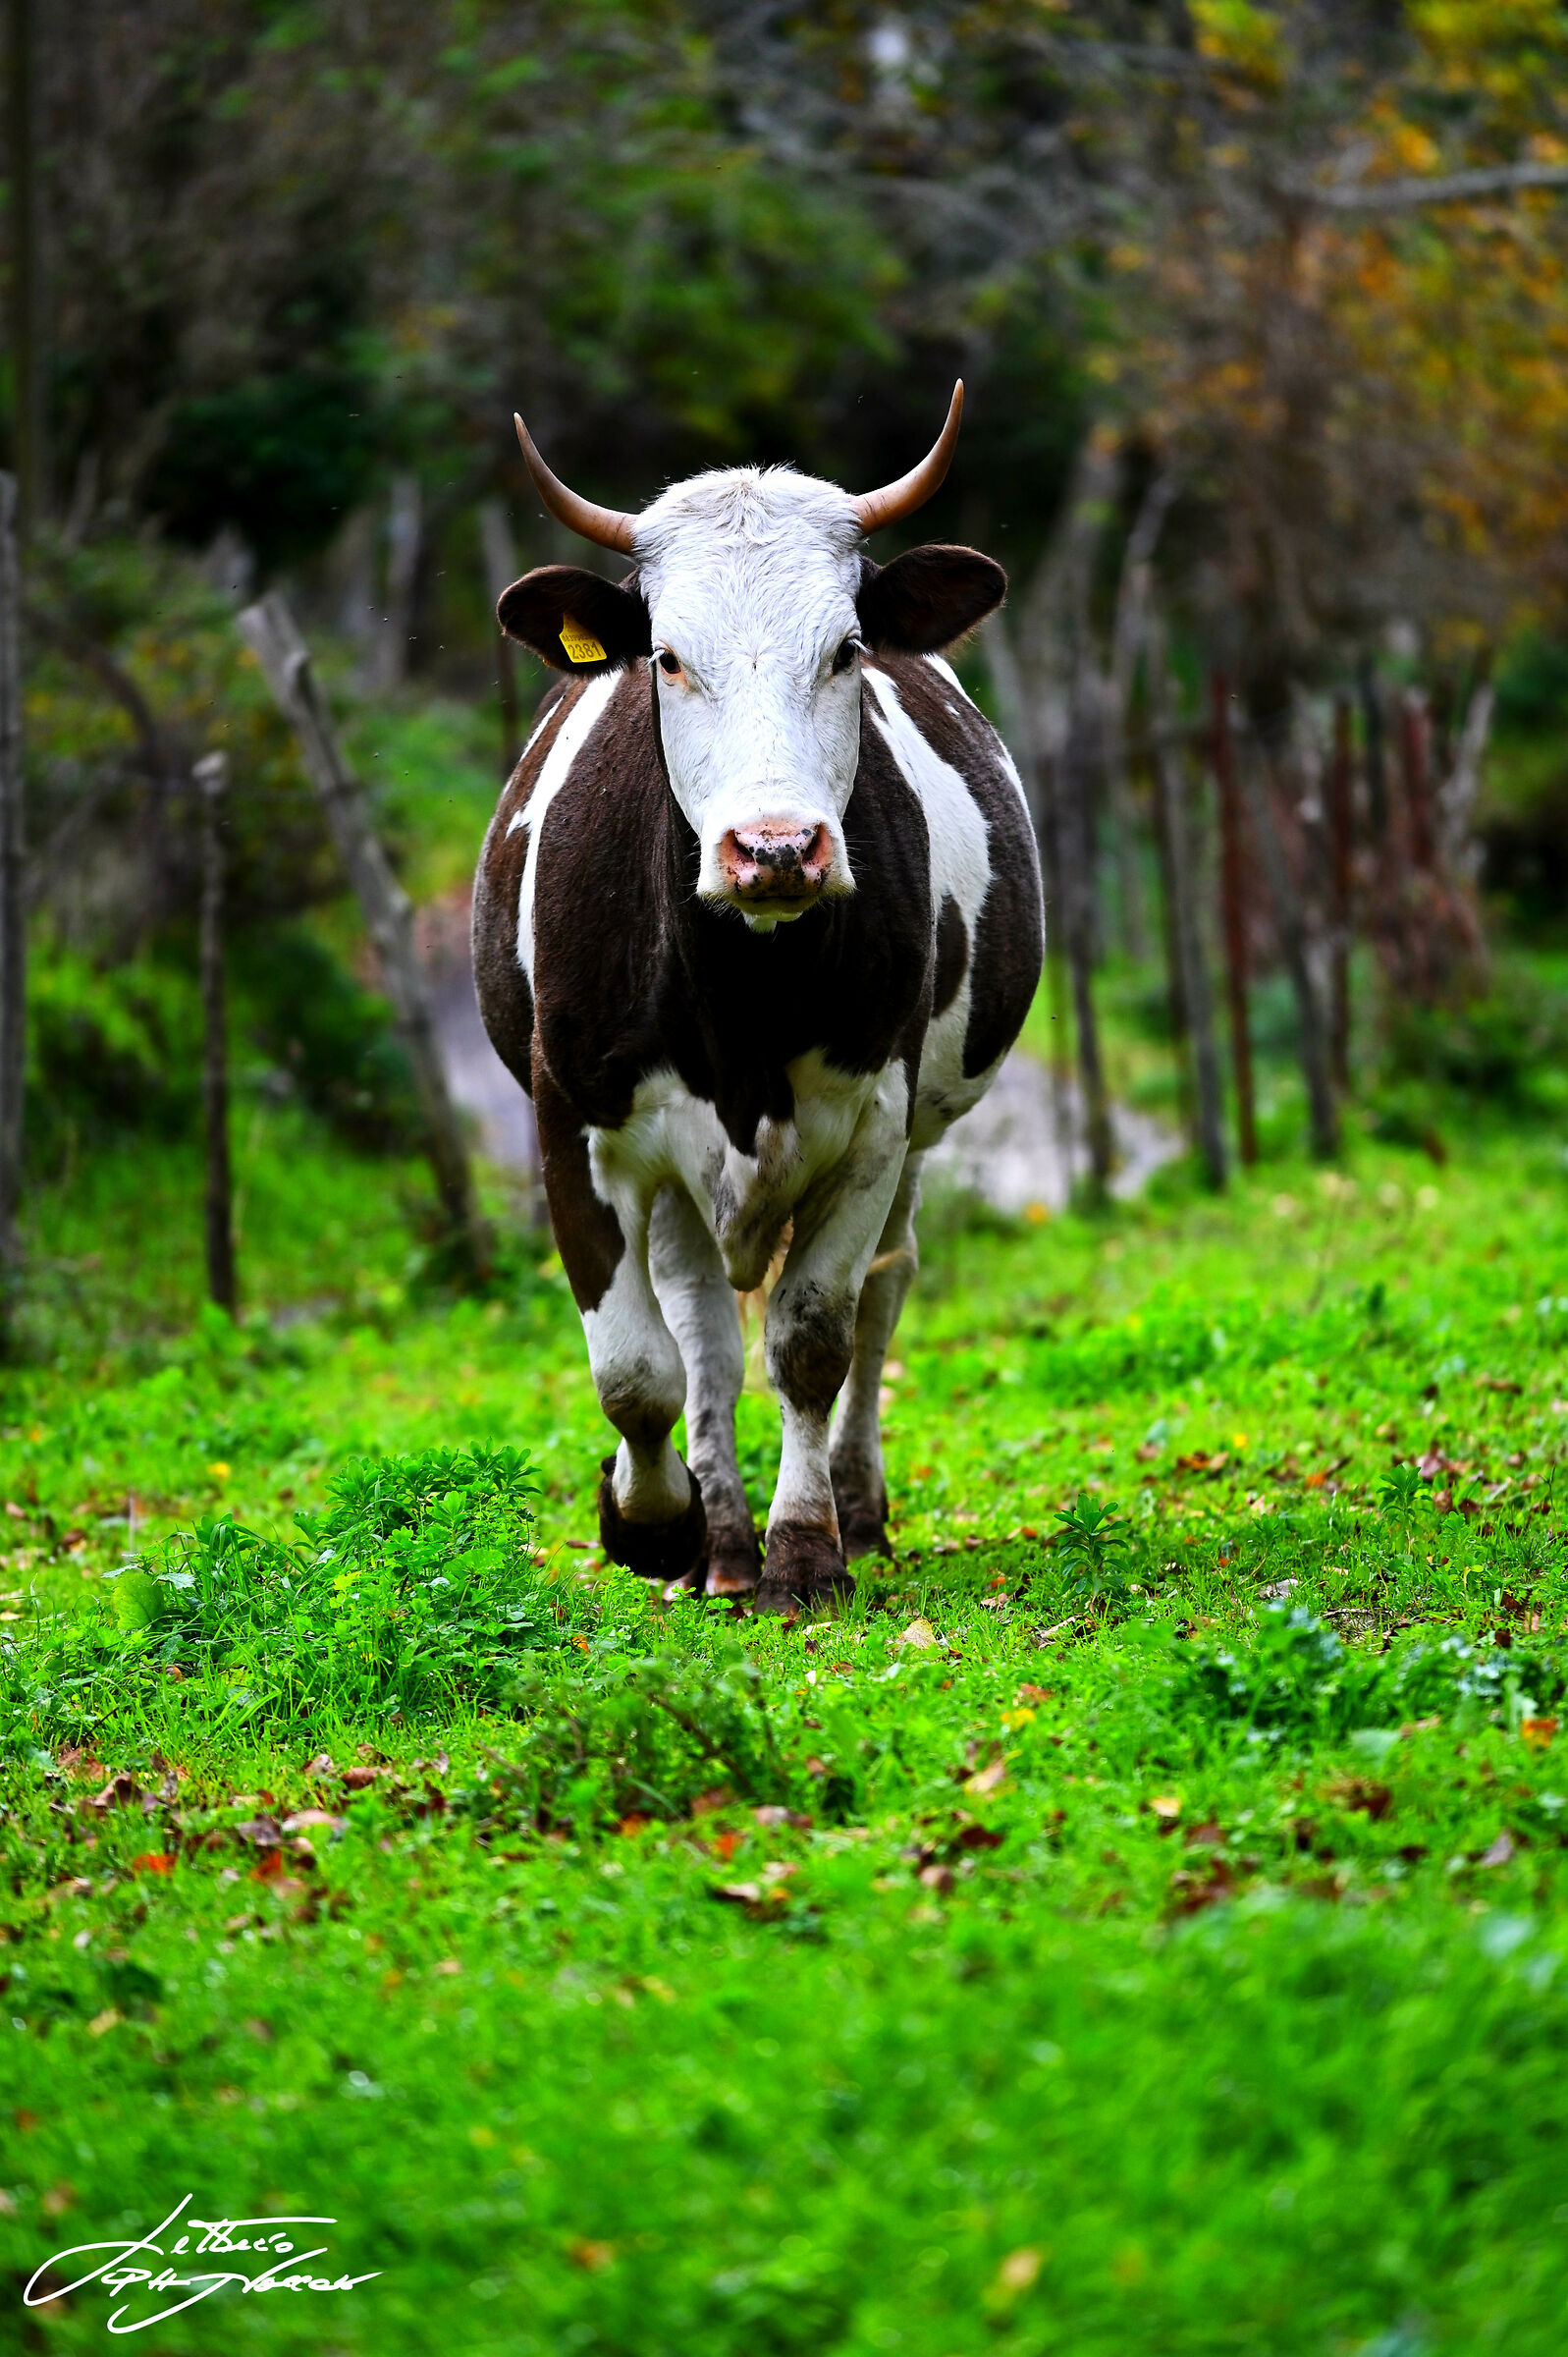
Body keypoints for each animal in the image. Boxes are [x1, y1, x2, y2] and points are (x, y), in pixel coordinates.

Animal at [473, 384, 1043, 1613]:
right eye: (667, 659)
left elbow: (812, 1339)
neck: (742, 1004)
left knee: (880, 1291)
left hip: (919, 1132)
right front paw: (657, 1527)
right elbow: (638, 1368)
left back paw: (853, 1510)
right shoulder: (570, 1124)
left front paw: (806, 1550)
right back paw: (718, 1541)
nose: (774, 848)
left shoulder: (873, 1121)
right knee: (698, 1330)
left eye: (846, 649)